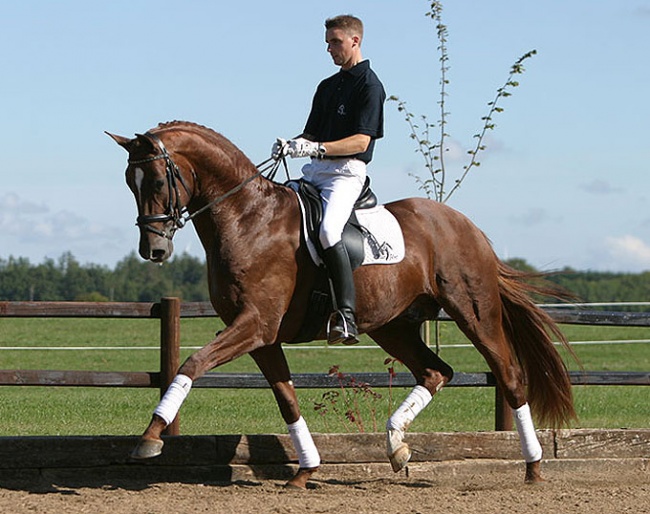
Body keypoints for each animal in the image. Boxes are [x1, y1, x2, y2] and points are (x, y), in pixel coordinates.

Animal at [105, 121, 572, 488]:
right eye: (129, 183)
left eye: (158, 182)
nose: (154, 250)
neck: (247, 218)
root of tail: (466, 225)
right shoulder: (262, 336)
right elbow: (287, 399)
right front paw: (305, 471)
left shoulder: (254, 324)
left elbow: (191, 364)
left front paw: (150, 438)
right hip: (392, 325)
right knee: (436, 371)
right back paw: (396, 446)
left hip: (473, 311)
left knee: (509, 375)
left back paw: (533, 467)